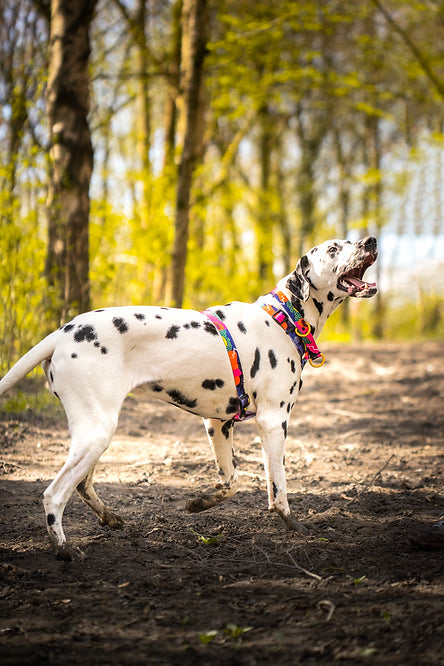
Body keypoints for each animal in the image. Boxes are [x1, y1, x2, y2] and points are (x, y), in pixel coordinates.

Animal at [0, 236, 378, 556]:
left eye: (350, 240)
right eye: (333, 249)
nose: (371, 240)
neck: (284, 316)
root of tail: (62, 332)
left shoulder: (218, 423)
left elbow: (231, 481)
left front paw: (198, 503)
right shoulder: (274, 422)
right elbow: (278, 488)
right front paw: (294, 526)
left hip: (94, 434)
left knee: (81, 485)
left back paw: (110, 518)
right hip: (97, 432)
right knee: (54, 494)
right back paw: (64, 548)